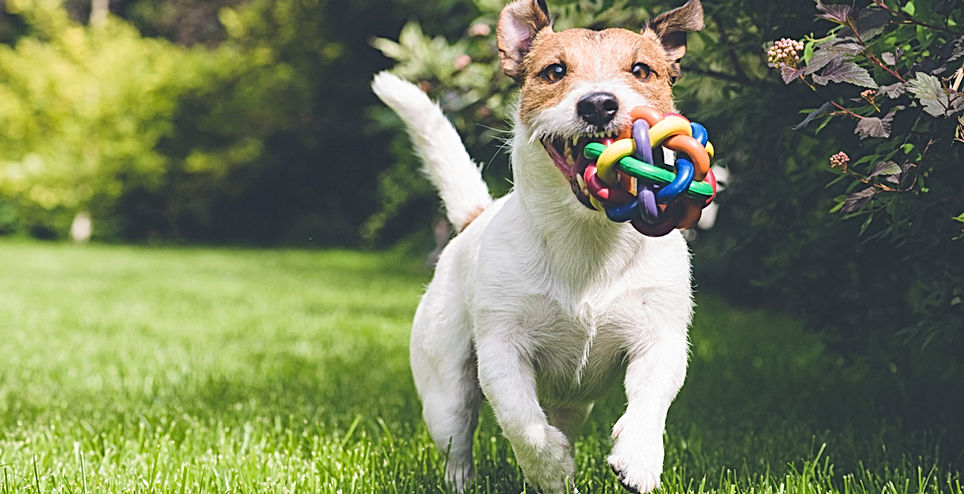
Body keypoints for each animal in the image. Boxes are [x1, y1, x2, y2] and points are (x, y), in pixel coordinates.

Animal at [372, 1, 704, 492]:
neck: (587, 236)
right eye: (555, 71)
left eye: (642, 70)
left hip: (573, 401)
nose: (599, 103)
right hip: (445, 388)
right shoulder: (501, 347)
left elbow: (653, 396)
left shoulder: (659, 335)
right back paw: (468, 479)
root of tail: (474, 218)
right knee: (457, 442)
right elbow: (520, 421)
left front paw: (639, 457)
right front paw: (549, 467)